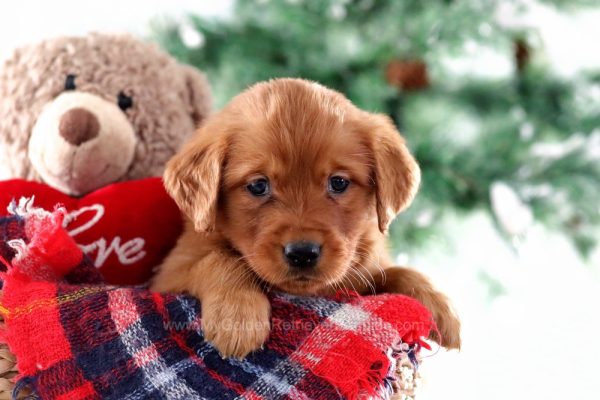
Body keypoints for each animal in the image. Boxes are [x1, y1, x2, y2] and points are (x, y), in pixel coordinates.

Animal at [152, 77, 462, 356]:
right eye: (258, 185)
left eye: (338, 182)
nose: (302, 253)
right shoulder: (172, 271)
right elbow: (220, 259)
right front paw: (238, 316)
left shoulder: (365, 270)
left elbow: (398, 271)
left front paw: (438, 306)